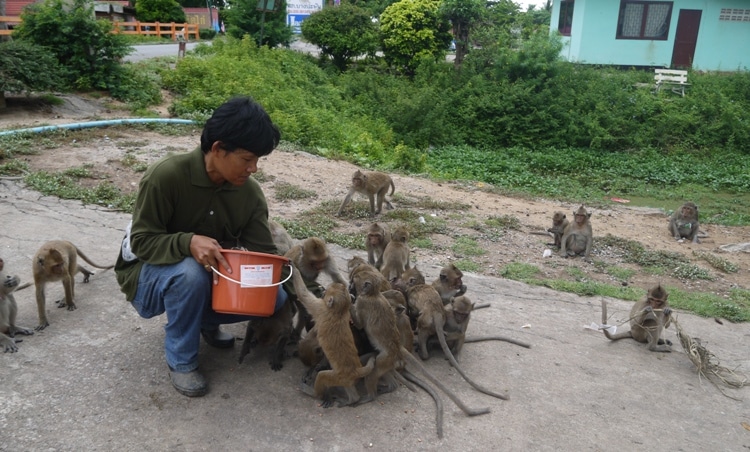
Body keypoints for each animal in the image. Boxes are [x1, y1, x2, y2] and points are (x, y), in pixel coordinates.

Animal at [292, 264, 376, 408]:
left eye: (327, 293)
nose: (323, 293)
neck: (338, 312)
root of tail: (356, 370)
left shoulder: (321, 309)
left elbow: (303, 294)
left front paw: (294, 269)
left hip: (338, 376)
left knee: (322, 376)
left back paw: (312, 392)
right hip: (345, 378)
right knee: (348, 386)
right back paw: (353, 399)